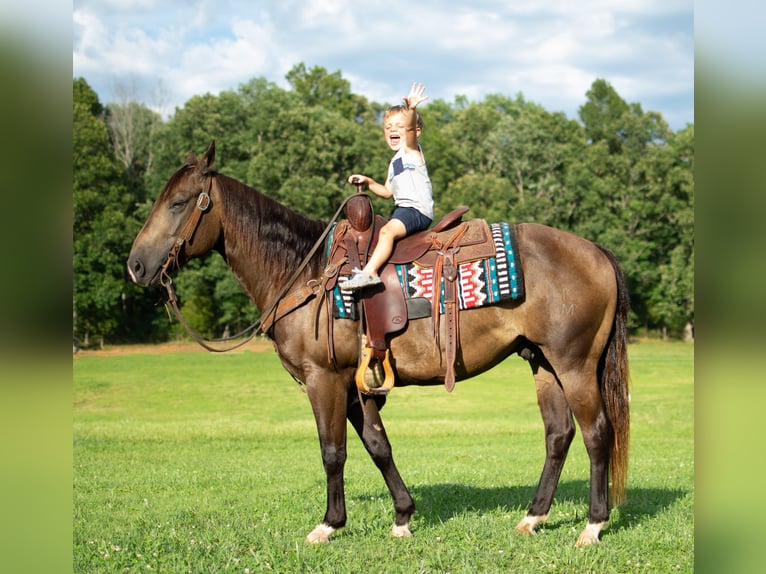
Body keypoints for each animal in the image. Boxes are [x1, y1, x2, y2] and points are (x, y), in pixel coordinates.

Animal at [127, 143, 632, 548]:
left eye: (177, 203)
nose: (135, 265)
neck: (304, 271)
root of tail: (596, 251)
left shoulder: (324, 380)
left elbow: (333, 451)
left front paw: (329, 524)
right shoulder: (359, 385)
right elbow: (377, 444)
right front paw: (403, 517)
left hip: (574, 364)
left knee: (596, 432)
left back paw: (592, 526)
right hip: (543, 362)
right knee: (558, 434)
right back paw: (533, 517)